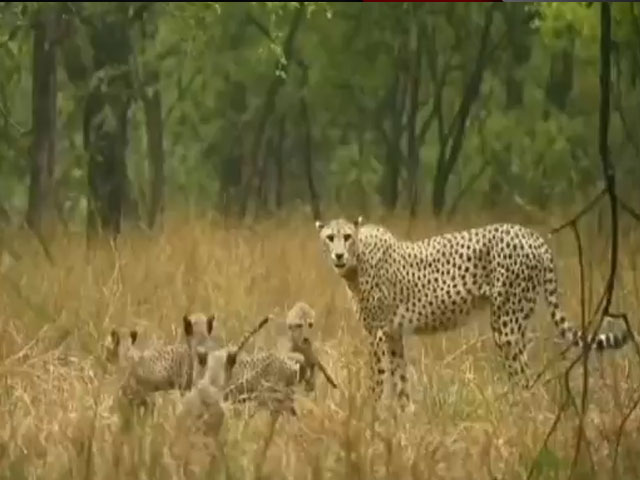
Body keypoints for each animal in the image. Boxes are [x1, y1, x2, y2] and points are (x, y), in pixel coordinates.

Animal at [315, 216, 631, 409]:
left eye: (347, 237)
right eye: (330, 237)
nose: (338, 255)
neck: (357, 262)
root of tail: (531, 235)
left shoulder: (378, 333)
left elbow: (378, 378)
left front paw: (371, 416)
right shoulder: (392, 334)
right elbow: (400, 378)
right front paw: (403, 417)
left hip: (506, 325)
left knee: (524, 377)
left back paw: (518, 418)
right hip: (518, 322)